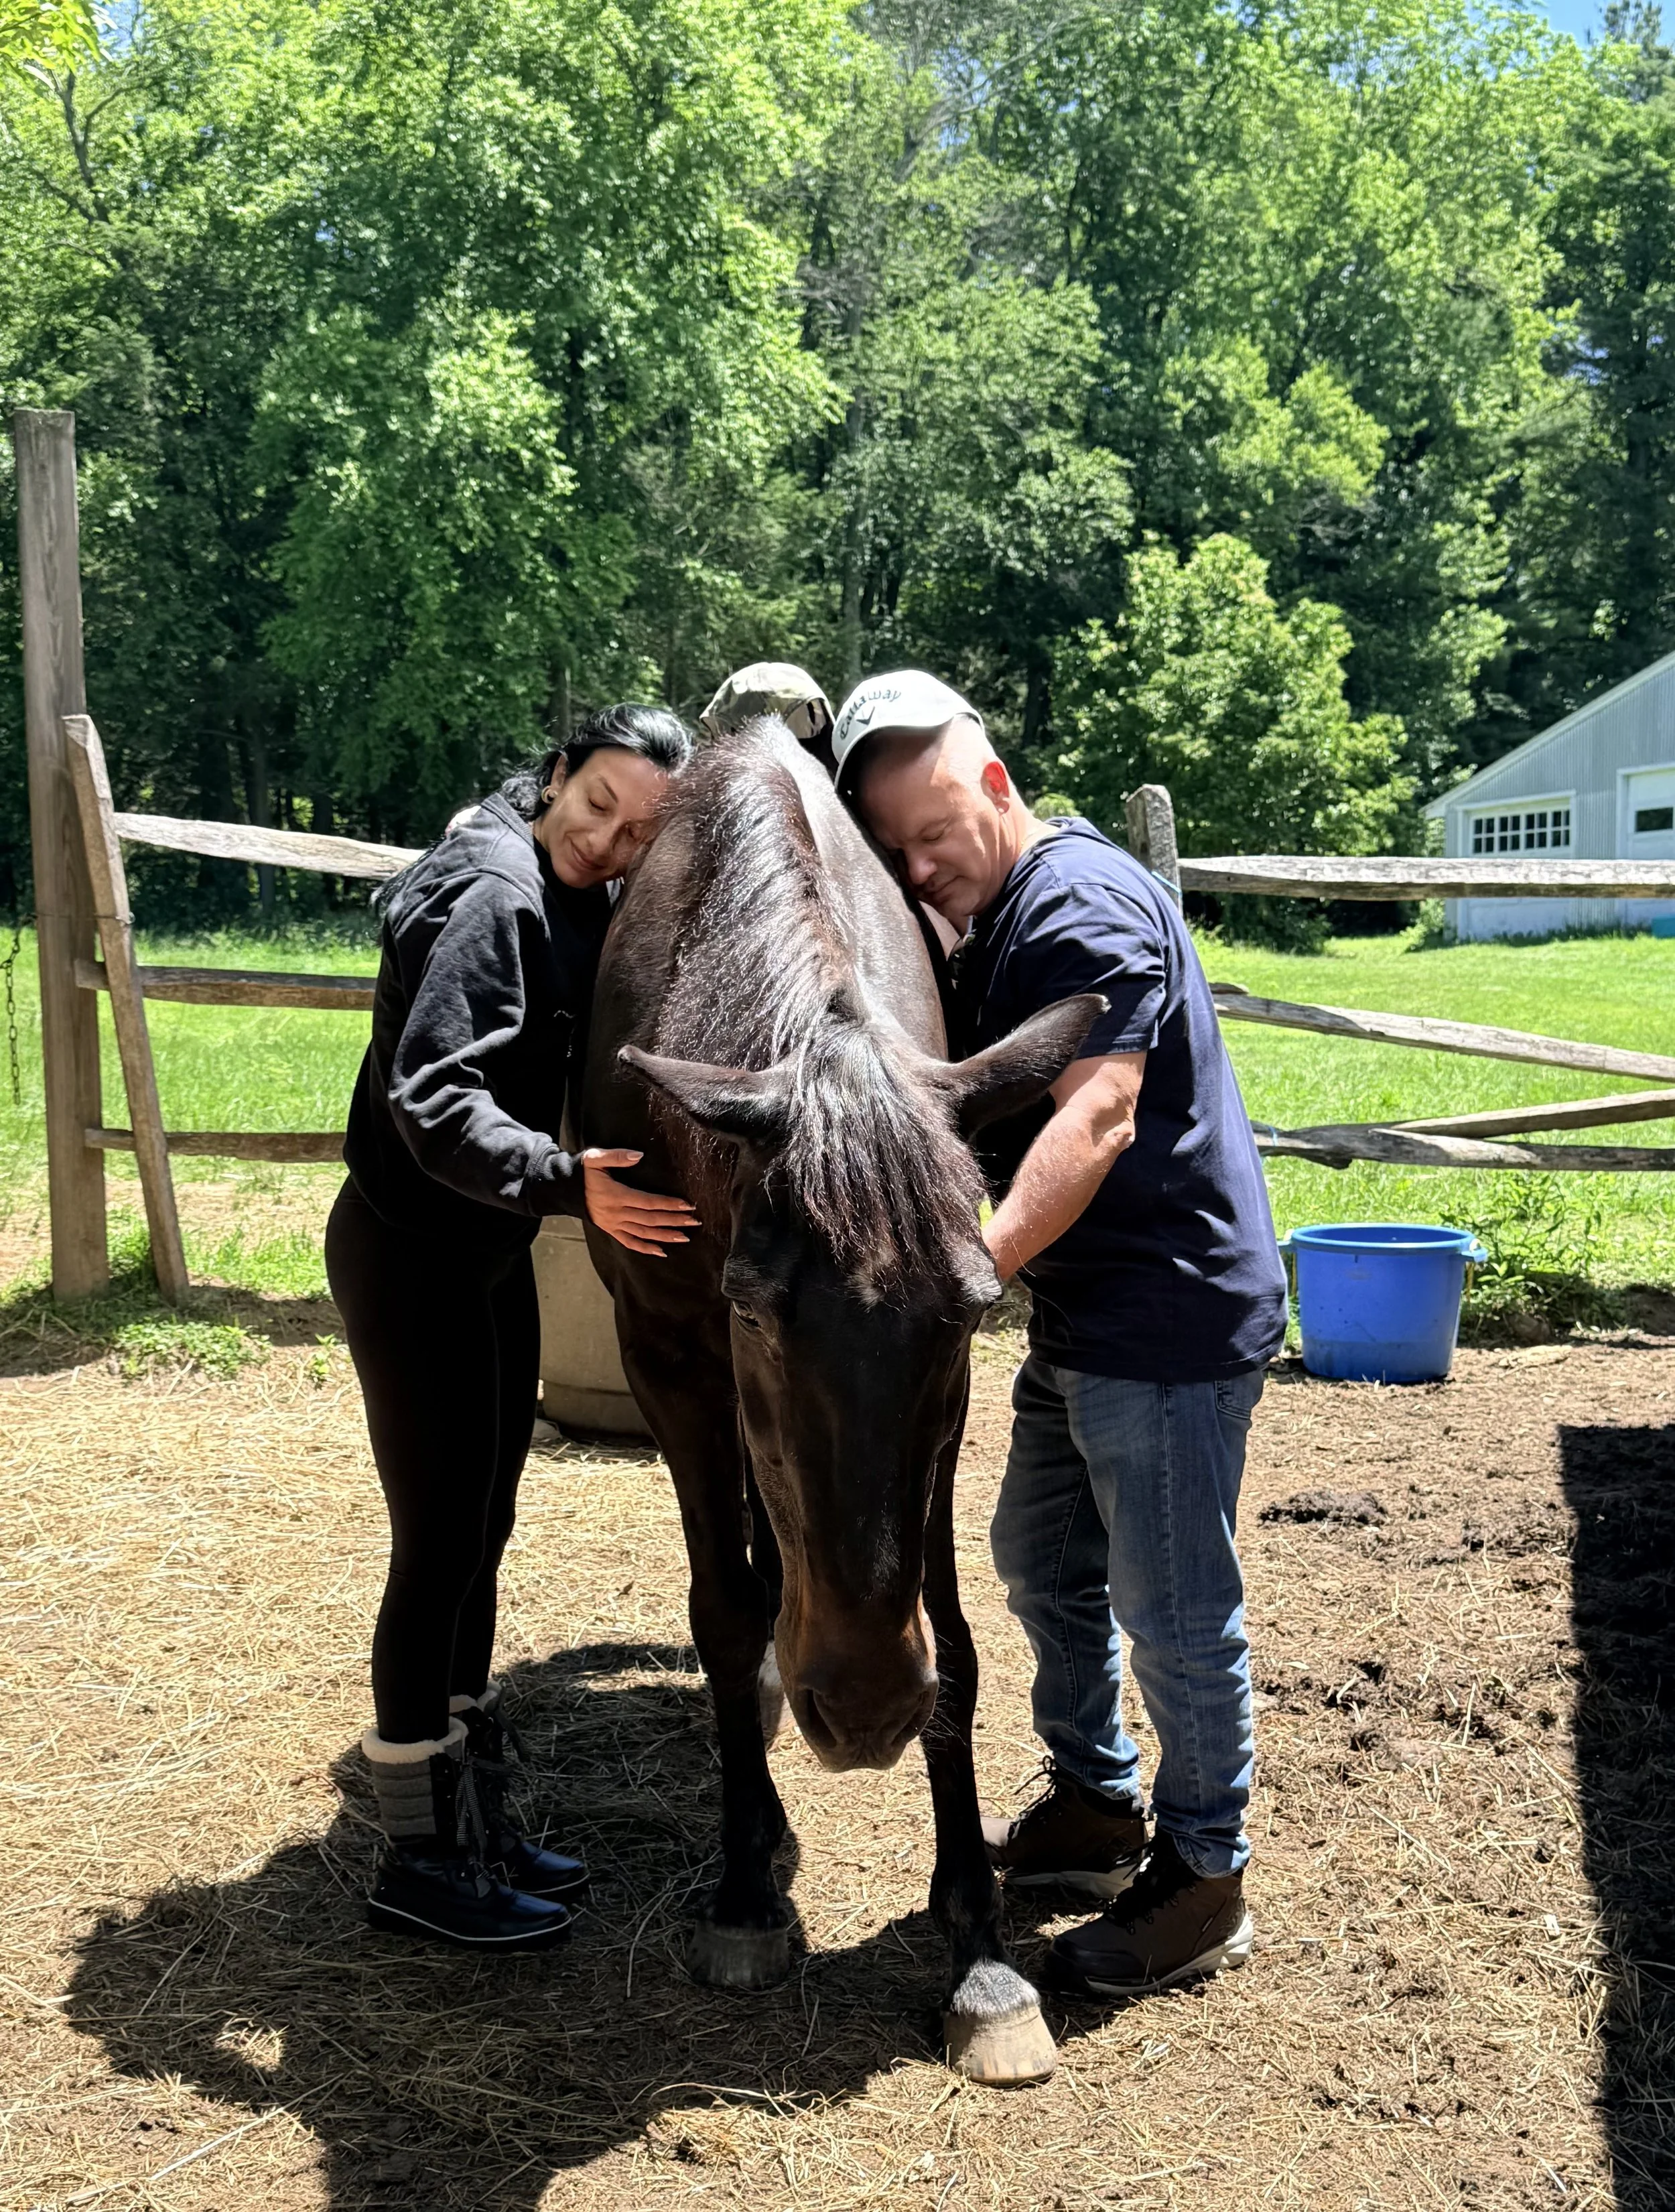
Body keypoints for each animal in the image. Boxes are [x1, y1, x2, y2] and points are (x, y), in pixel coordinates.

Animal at [580, 719, 1099, 2085]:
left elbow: (956, 1641)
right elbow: (722, 1608)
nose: (863, 1712)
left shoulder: (950, 1416)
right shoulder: (673, 1355)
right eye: (757, 1311)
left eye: (970, 1310)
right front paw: (746, 1890)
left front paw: (980, 1947)